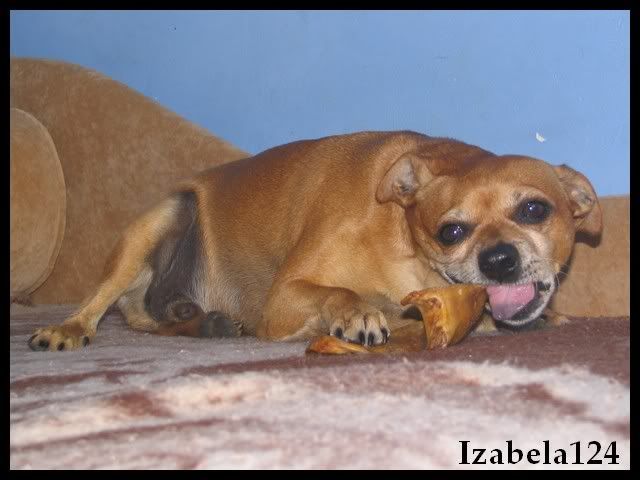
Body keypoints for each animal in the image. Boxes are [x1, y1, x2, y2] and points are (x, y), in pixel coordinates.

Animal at [28, 131, 602, 351]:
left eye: (534, 210)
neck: (402, 237)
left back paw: (207, 321)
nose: (499, 259)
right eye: (452, 231)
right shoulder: (284, 298)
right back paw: (67, 328)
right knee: (100, 304)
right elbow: (342, 294)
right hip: (163, 218)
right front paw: (358, 313)